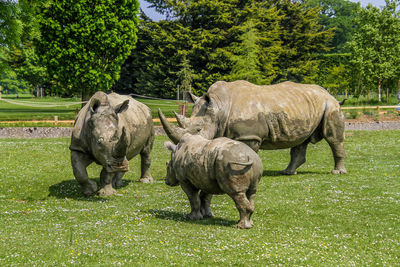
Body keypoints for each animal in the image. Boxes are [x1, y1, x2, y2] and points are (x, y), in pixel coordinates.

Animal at [159, 80, 346, 175]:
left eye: (198, 130)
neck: (220, 107)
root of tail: (329, 93)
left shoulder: (249, 136)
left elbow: (247, 153)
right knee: (301, 140)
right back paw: (287, 172)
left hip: (330, 106)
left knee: (333, 137)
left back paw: (337, 172)